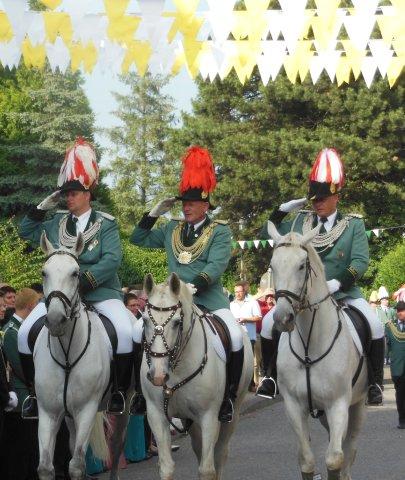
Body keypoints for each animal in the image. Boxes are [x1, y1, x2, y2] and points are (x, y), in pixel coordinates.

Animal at [36, 234, 128, 480]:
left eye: (75, 273)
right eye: (44, 272)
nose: (55, 320)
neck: (67, 355)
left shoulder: (86, 409)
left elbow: (77, 465)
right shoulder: (48, 412)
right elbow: (46, 467)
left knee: (117, 443)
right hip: (68, 415)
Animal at [140, 272, 251, 478]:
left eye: (177, 322)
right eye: (144, 320)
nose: (158, 376)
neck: (176, 367)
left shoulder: (209, 417)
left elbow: (207, 469)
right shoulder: (156, 415)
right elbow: (166, 467)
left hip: (233, 412)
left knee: (220, 453)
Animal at [266, 222, 368, 480]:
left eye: (302, 265)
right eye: (272, 266)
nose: (282, 318)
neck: (309, 349)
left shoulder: (339, 404)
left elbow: (334, 459)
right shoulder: (293, 405)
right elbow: (307, 461)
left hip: (357, 406)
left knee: (348, 452)